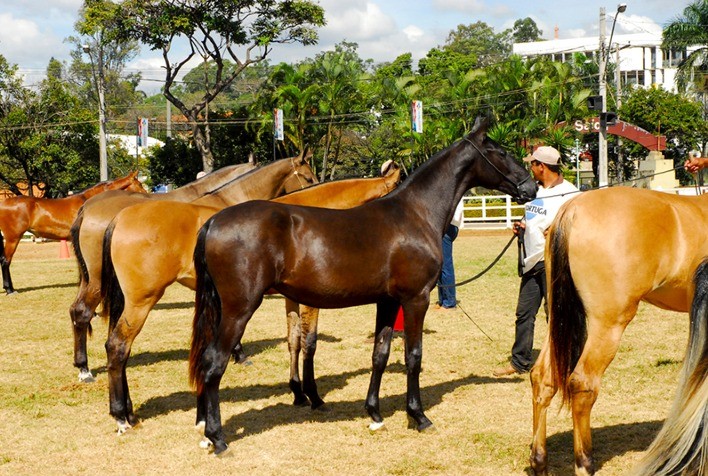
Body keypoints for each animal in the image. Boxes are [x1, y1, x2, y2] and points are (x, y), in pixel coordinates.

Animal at [99, 161, 402, 436]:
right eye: (306, 176)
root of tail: (120, 218)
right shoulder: (311, 301)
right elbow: (310, 343)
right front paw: (314, 396)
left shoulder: (290, 298)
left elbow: (293, 340)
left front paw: (297, 392)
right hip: (142, 302)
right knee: (118, 347)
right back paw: (121, 416)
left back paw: (129, 413)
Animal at [188, 117, 536, 456]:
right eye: (501, 152)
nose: (530, 186)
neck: (415, 214)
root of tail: (213, 222)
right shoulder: (416, 299)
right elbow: (413, 355)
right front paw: (418, 415)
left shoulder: (387, 301)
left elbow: (379, 354)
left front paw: (374, 413)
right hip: (239, 309)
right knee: (214, 362)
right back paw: (217, 438)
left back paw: (205, 430)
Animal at [528, 187, 708, 476]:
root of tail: (573, 208)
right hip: (607, 326)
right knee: (583, 384)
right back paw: (585, 463)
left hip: (556, 319)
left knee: (543, 378)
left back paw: (539, 461)